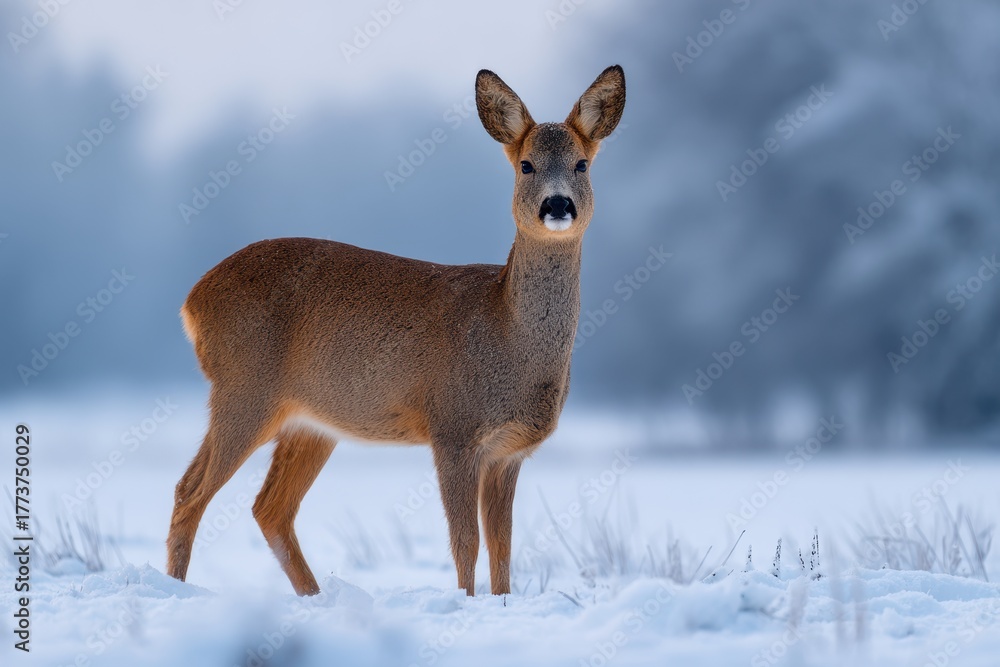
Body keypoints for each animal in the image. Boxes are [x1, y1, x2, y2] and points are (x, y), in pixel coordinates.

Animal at [166, 65, 626, 597]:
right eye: (526, 165)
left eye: (582, 164)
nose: (557, 205)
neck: (506, 333)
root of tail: (192, 300)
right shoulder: (453, 427)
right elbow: (465, 542)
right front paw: (465, 603)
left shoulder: (509, 452)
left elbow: (504, 549)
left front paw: (502, 603)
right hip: (243, 388)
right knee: (190, 491)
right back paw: (178, 589)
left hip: (309, 421)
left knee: (269, 507)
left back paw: (315, 596)